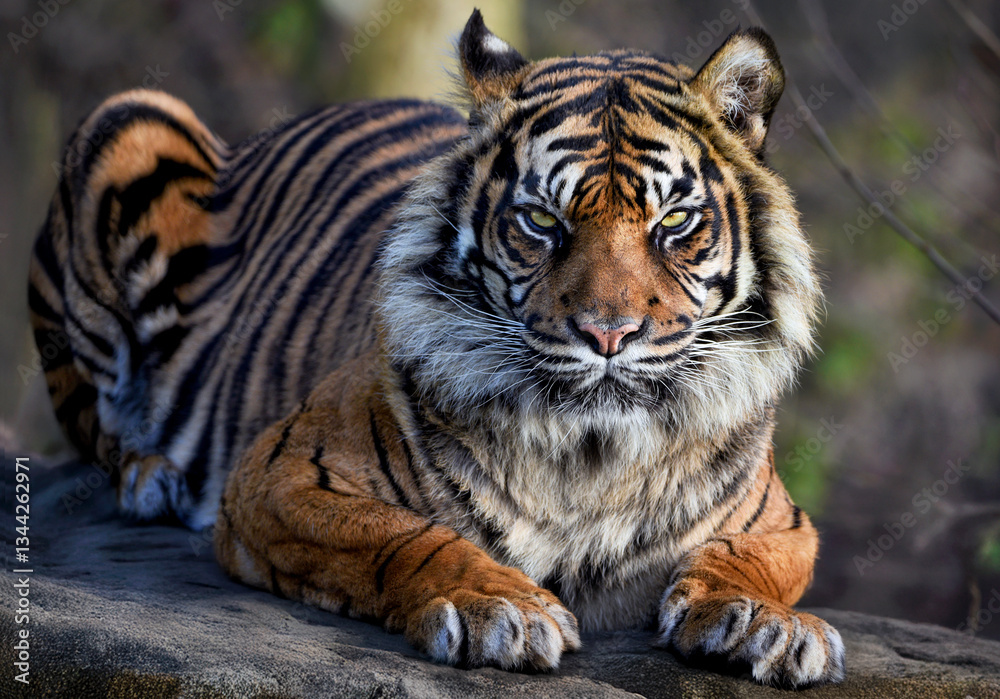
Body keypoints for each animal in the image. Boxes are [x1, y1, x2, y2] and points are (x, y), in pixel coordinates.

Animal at [28, 10, 844, 687]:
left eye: (673, 221)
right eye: (542, 221)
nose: (607, 333)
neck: (593, 453)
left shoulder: (780, 522)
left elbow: (747, 560)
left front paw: (764, 623)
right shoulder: (281, 474)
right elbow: (410, 535)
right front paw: (499, 608)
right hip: (131, 121)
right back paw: (150, 475)